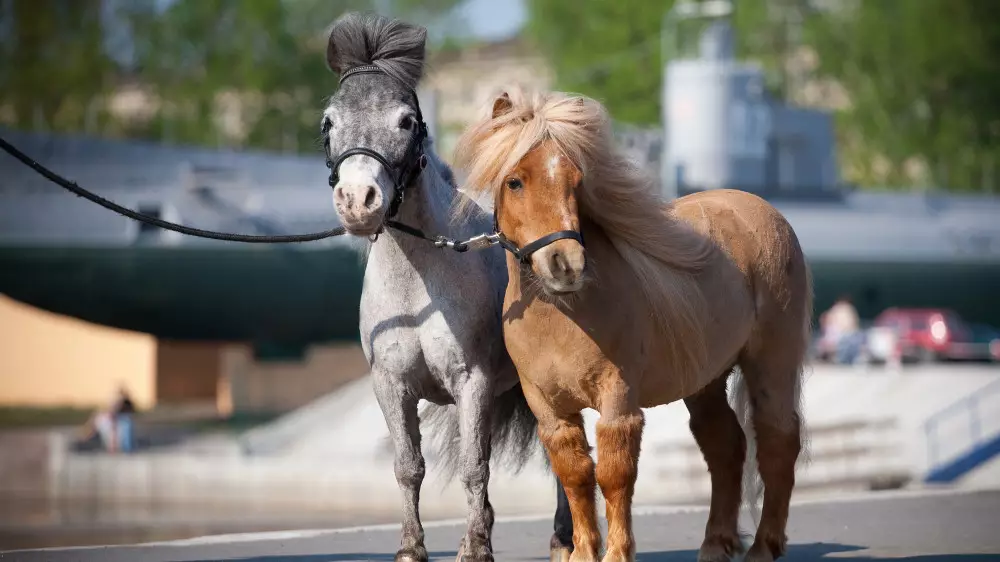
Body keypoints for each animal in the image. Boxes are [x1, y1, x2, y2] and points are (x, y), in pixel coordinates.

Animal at [320, 10, 572, 560]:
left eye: (405, 122)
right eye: (329, 122)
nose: (358, 201)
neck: (418, 288)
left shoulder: (472, 382)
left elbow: (474, 468)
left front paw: (475, 548)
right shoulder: (391, 387)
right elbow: (408, 467)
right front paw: (412, 547)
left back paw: (565, 540)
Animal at [454, 87, 812, 560]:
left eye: (576, 181)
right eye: (515, 181)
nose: (565, 265)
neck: (567, 313)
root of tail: (764, 210)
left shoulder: (618, 400)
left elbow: (613, 476)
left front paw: (616, 553)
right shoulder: (550, 411)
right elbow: (575, 476)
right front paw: (583, 552)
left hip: (771, 364)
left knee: (777, 441)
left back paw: (764, 547)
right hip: (705, 381)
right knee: (725, 447)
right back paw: (716, 543)